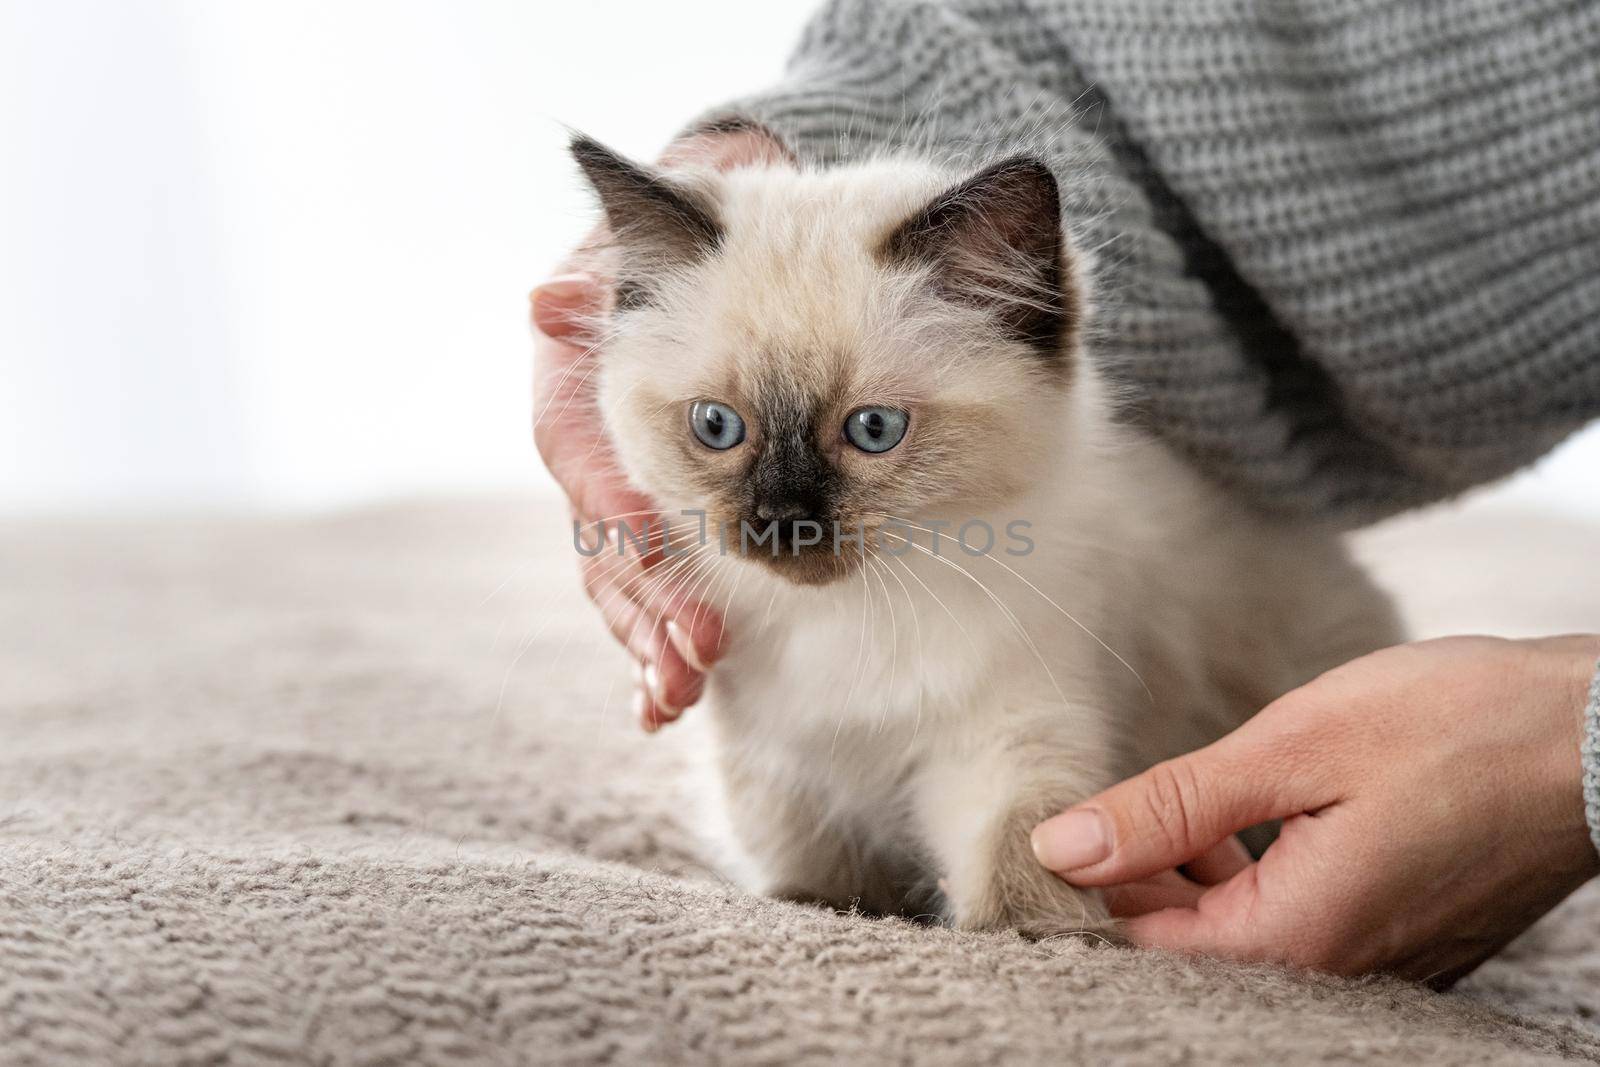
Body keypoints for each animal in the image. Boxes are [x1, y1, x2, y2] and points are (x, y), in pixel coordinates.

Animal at [569, 131, 1395, 934]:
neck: (851, 620)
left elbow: (1019, 849)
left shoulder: (1007, 730)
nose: (781, 520)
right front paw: (832, 906)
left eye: (874, 430)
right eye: (717, 426)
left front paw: (1037, 932)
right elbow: (811, 870)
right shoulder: (778, 759)